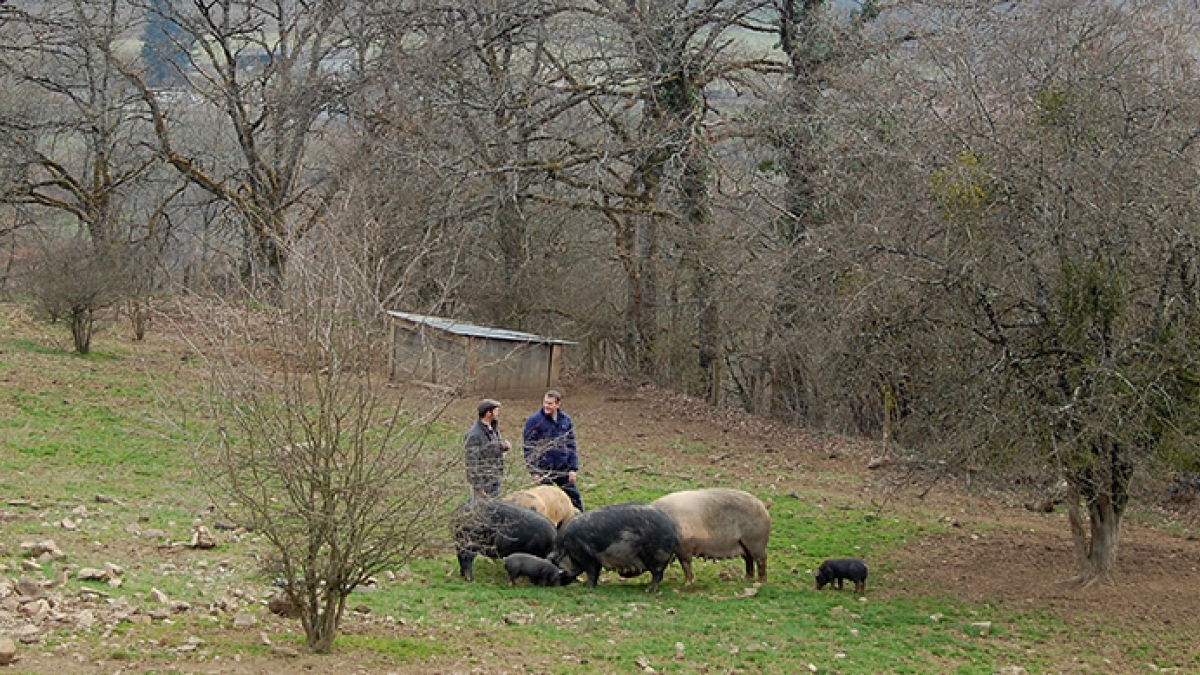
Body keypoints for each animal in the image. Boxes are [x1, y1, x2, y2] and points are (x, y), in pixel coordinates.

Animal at [549, 499, 681, 588]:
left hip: (658, 555)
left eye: (557, 565)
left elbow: (591, 571)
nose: (559, 584)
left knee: (657, 573)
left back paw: (648, 589)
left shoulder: (585, 554)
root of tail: (672, 527)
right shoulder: (595, 559)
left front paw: (587, 587)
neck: (566, 548)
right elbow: (596, 572)